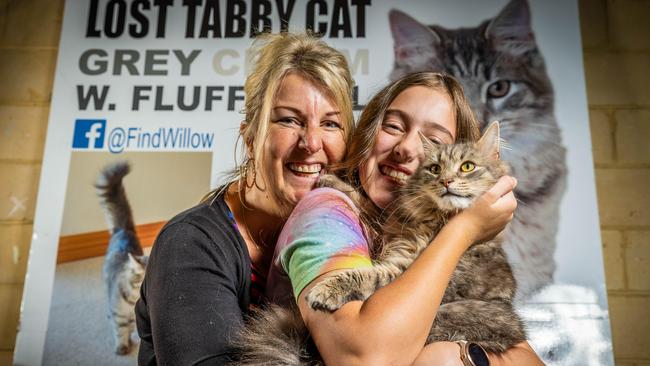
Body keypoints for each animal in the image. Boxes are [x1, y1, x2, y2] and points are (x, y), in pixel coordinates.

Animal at [95, 161, 147, 354]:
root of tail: (124, 230)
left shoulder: (134, 319)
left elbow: (132, 329)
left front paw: (131, 341)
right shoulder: (119, 315)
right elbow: (119, 331)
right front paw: (122, 347)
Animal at [232, 123, 520, 366]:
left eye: (467, 167)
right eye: (435, 169)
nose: (446, 181)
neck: (434, 218)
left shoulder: (404, 270)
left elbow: (363, 275)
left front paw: (324, 291)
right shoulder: (391, 229)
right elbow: (366, 203)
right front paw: (331, 180)